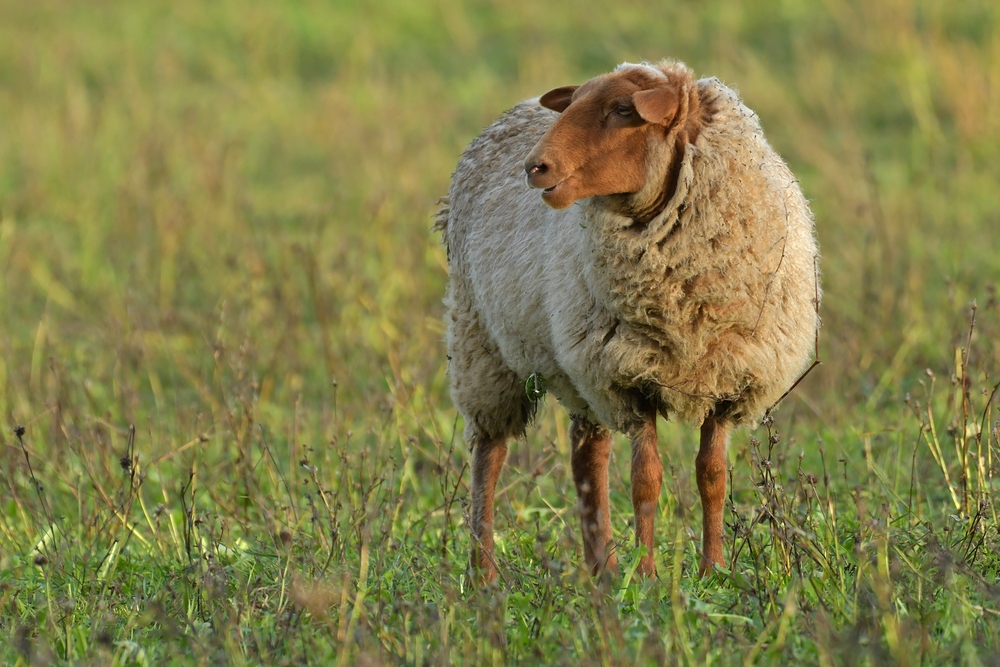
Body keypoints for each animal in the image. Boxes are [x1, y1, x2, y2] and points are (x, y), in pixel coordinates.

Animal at [438, 61, 820, 584]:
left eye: (623, 110)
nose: (534, 168)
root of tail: (514, 110)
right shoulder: (630, 378)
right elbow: (646, 480)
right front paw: (648, 574)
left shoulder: (729, 380)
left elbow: (713, 476)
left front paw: (713, 570)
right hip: (481, 343)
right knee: (489, 455)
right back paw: (485, 573)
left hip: (577, 369)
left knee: (587, 457)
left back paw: (601, 569)